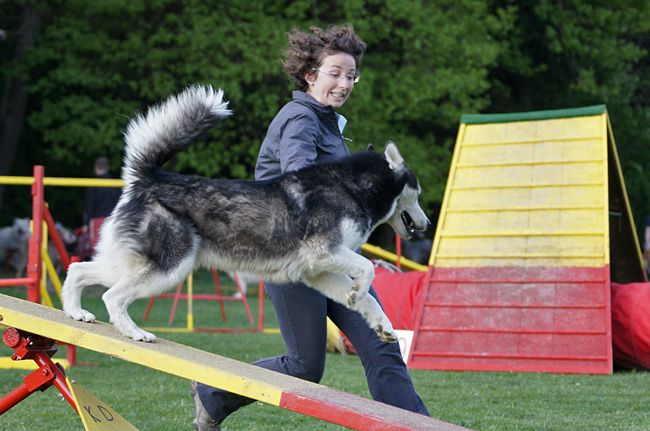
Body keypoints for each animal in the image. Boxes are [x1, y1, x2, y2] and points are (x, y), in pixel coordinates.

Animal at [60, 87, 428, 344]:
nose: (425, 224)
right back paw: (135, 332)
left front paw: (381, 324)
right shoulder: (325, 252)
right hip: (169, 267)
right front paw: (359, 291)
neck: (353, 188)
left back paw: (76, 312)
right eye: (419, 192)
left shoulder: (318, 272)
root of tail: (150, 177)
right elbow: (368, 269)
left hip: (134, 263)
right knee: (112, 296)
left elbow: (370, 301)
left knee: (78, 270)